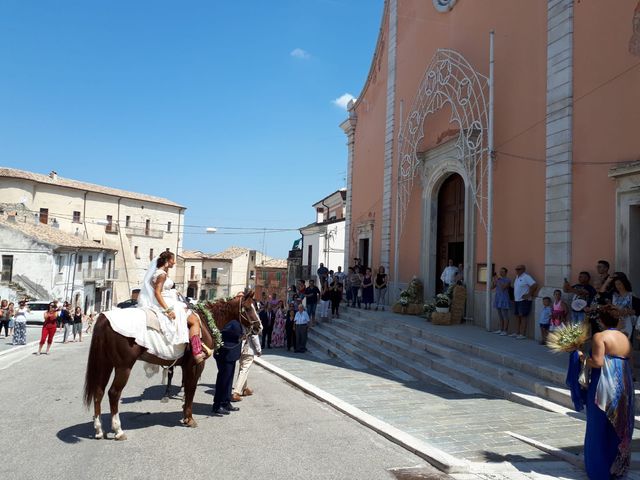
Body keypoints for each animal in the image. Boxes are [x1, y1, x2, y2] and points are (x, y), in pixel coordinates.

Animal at [83, 290, 260, 440]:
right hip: (123, 367)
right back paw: (118, 430)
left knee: (98, 392)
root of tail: (104, 318)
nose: (259, 327)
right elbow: (191, 389)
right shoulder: (196, 365)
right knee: (113, 393)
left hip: (106, 364)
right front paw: (189, 418)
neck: (205, 320)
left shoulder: (185, 366)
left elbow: (187, 388)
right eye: (247, 308)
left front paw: (185, 414)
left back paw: (99, 429)